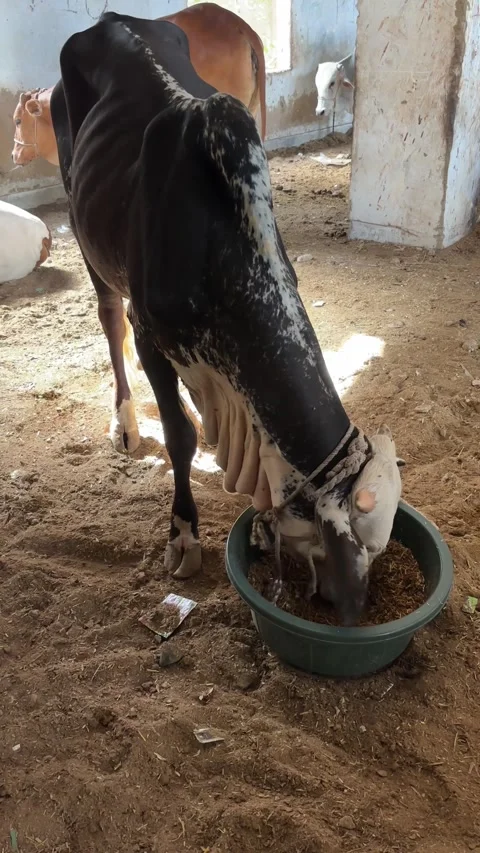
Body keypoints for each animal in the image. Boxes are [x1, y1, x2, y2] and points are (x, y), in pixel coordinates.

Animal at [50, 11, 403, 626]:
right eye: (347, 546)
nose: (350, 607)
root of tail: (109, 19)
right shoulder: (154, 336)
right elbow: (180, 436)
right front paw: (183, 536)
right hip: (85, 227)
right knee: (109, 317)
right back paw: (125, 420)